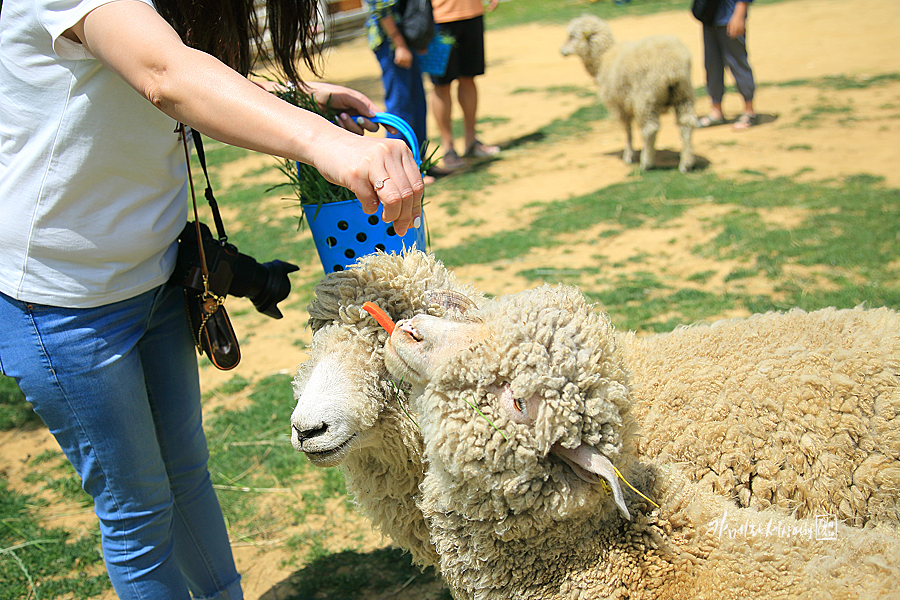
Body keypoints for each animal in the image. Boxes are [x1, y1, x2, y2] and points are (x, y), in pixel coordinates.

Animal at [564, 14, 696, 173]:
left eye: (572, 36)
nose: (561, 51)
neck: (603, 58)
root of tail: (672, 68)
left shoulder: (619, 104)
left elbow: (627, 130)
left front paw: (628, 155)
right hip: (683, 93)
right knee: (686, 123)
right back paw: (686, 163)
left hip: (646, 97)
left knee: (649, 129)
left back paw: (646, 163)